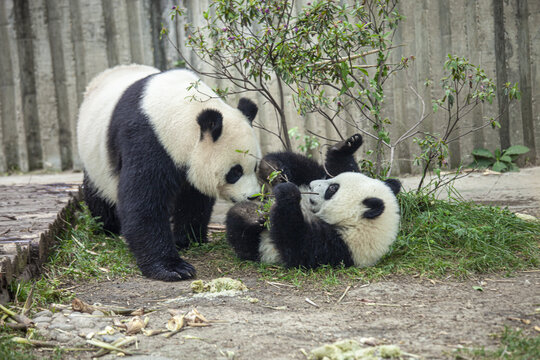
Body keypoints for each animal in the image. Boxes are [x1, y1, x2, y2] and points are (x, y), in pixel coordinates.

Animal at [77, 64, 260, 282]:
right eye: (235, 172)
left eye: (255, 167)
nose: (253, 196)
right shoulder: (147, 139)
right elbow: (143, 202)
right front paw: (173, 268)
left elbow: (193, 199)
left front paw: (189, 239)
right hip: (96, 161)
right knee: (99, 194)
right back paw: (108, 226)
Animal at [225, 136, 400, 270]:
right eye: (333, 182)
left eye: (333, 189)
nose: (311, 185)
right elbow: (322, 168)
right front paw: (347, 145)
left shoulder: (339, 247)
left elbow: (296, 246)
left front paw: (288, 193)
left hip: (259, 246)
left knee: (242, 235)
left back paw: (248, 214)